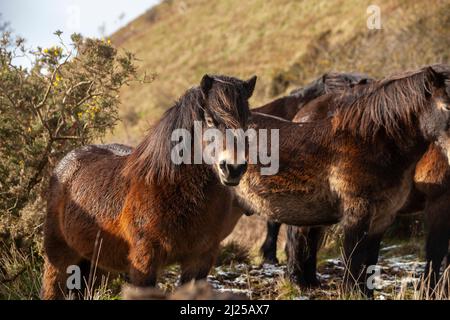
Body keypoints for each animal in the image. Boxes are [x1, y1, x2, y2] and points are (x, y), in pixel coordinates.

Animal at [41, 74, 256, 298]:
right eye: (210, 120)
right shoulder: (144, 260)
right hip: (58, 259)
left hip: (94, 264)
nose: (233, 168)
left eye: (247, 121)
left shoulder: (200, 260)